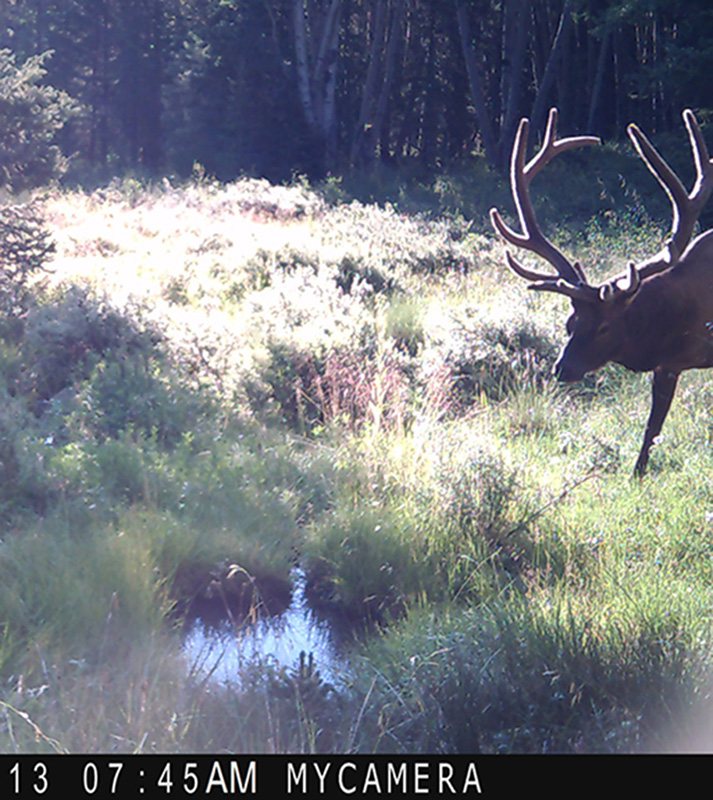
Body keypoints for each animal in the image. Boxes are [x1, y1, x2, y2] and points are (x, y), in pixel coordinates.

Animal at [490, 107, 713, 476]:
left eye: (605, 328)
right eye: (569, 323)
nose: (562, 368)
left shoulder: (671, 363)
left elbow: (653, 427)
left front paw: (637, 474)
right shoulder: (667, 364)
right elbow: (653, 428)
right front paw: (637, 472)